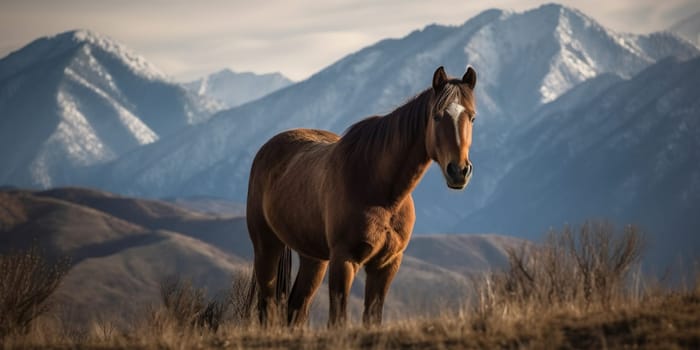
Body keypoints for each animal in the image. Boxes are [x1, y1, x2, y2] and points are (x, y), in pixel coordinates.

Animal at [245, 66, 476, 328]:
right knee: (267, 306)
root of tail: (268, 147)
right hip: (267, 247)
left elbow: (372, 318)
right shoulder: (344, 260)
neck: (383, 193)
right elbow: (338, 320)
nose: (459, 171)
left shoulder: (386, 265)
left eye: (472, 117)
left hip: (313, 258)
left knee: (296, 308)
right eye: (436, 116)